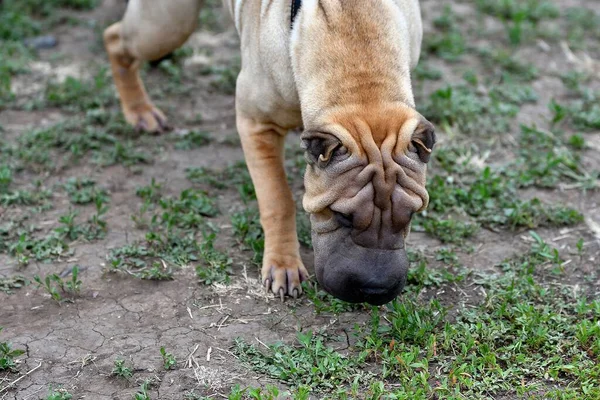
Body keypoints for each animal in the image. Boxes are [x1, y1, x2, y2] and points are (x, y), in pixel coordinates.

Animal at [104, 0, 436, 304]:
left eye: (411, 215)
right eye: (341, 215)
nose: (374, 291)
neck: (361, 75)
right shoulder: (256, 124)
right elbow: (278, 199)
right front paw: (283, 264)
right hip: (165, 25)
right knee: (115, 39)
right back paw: (140, 111)